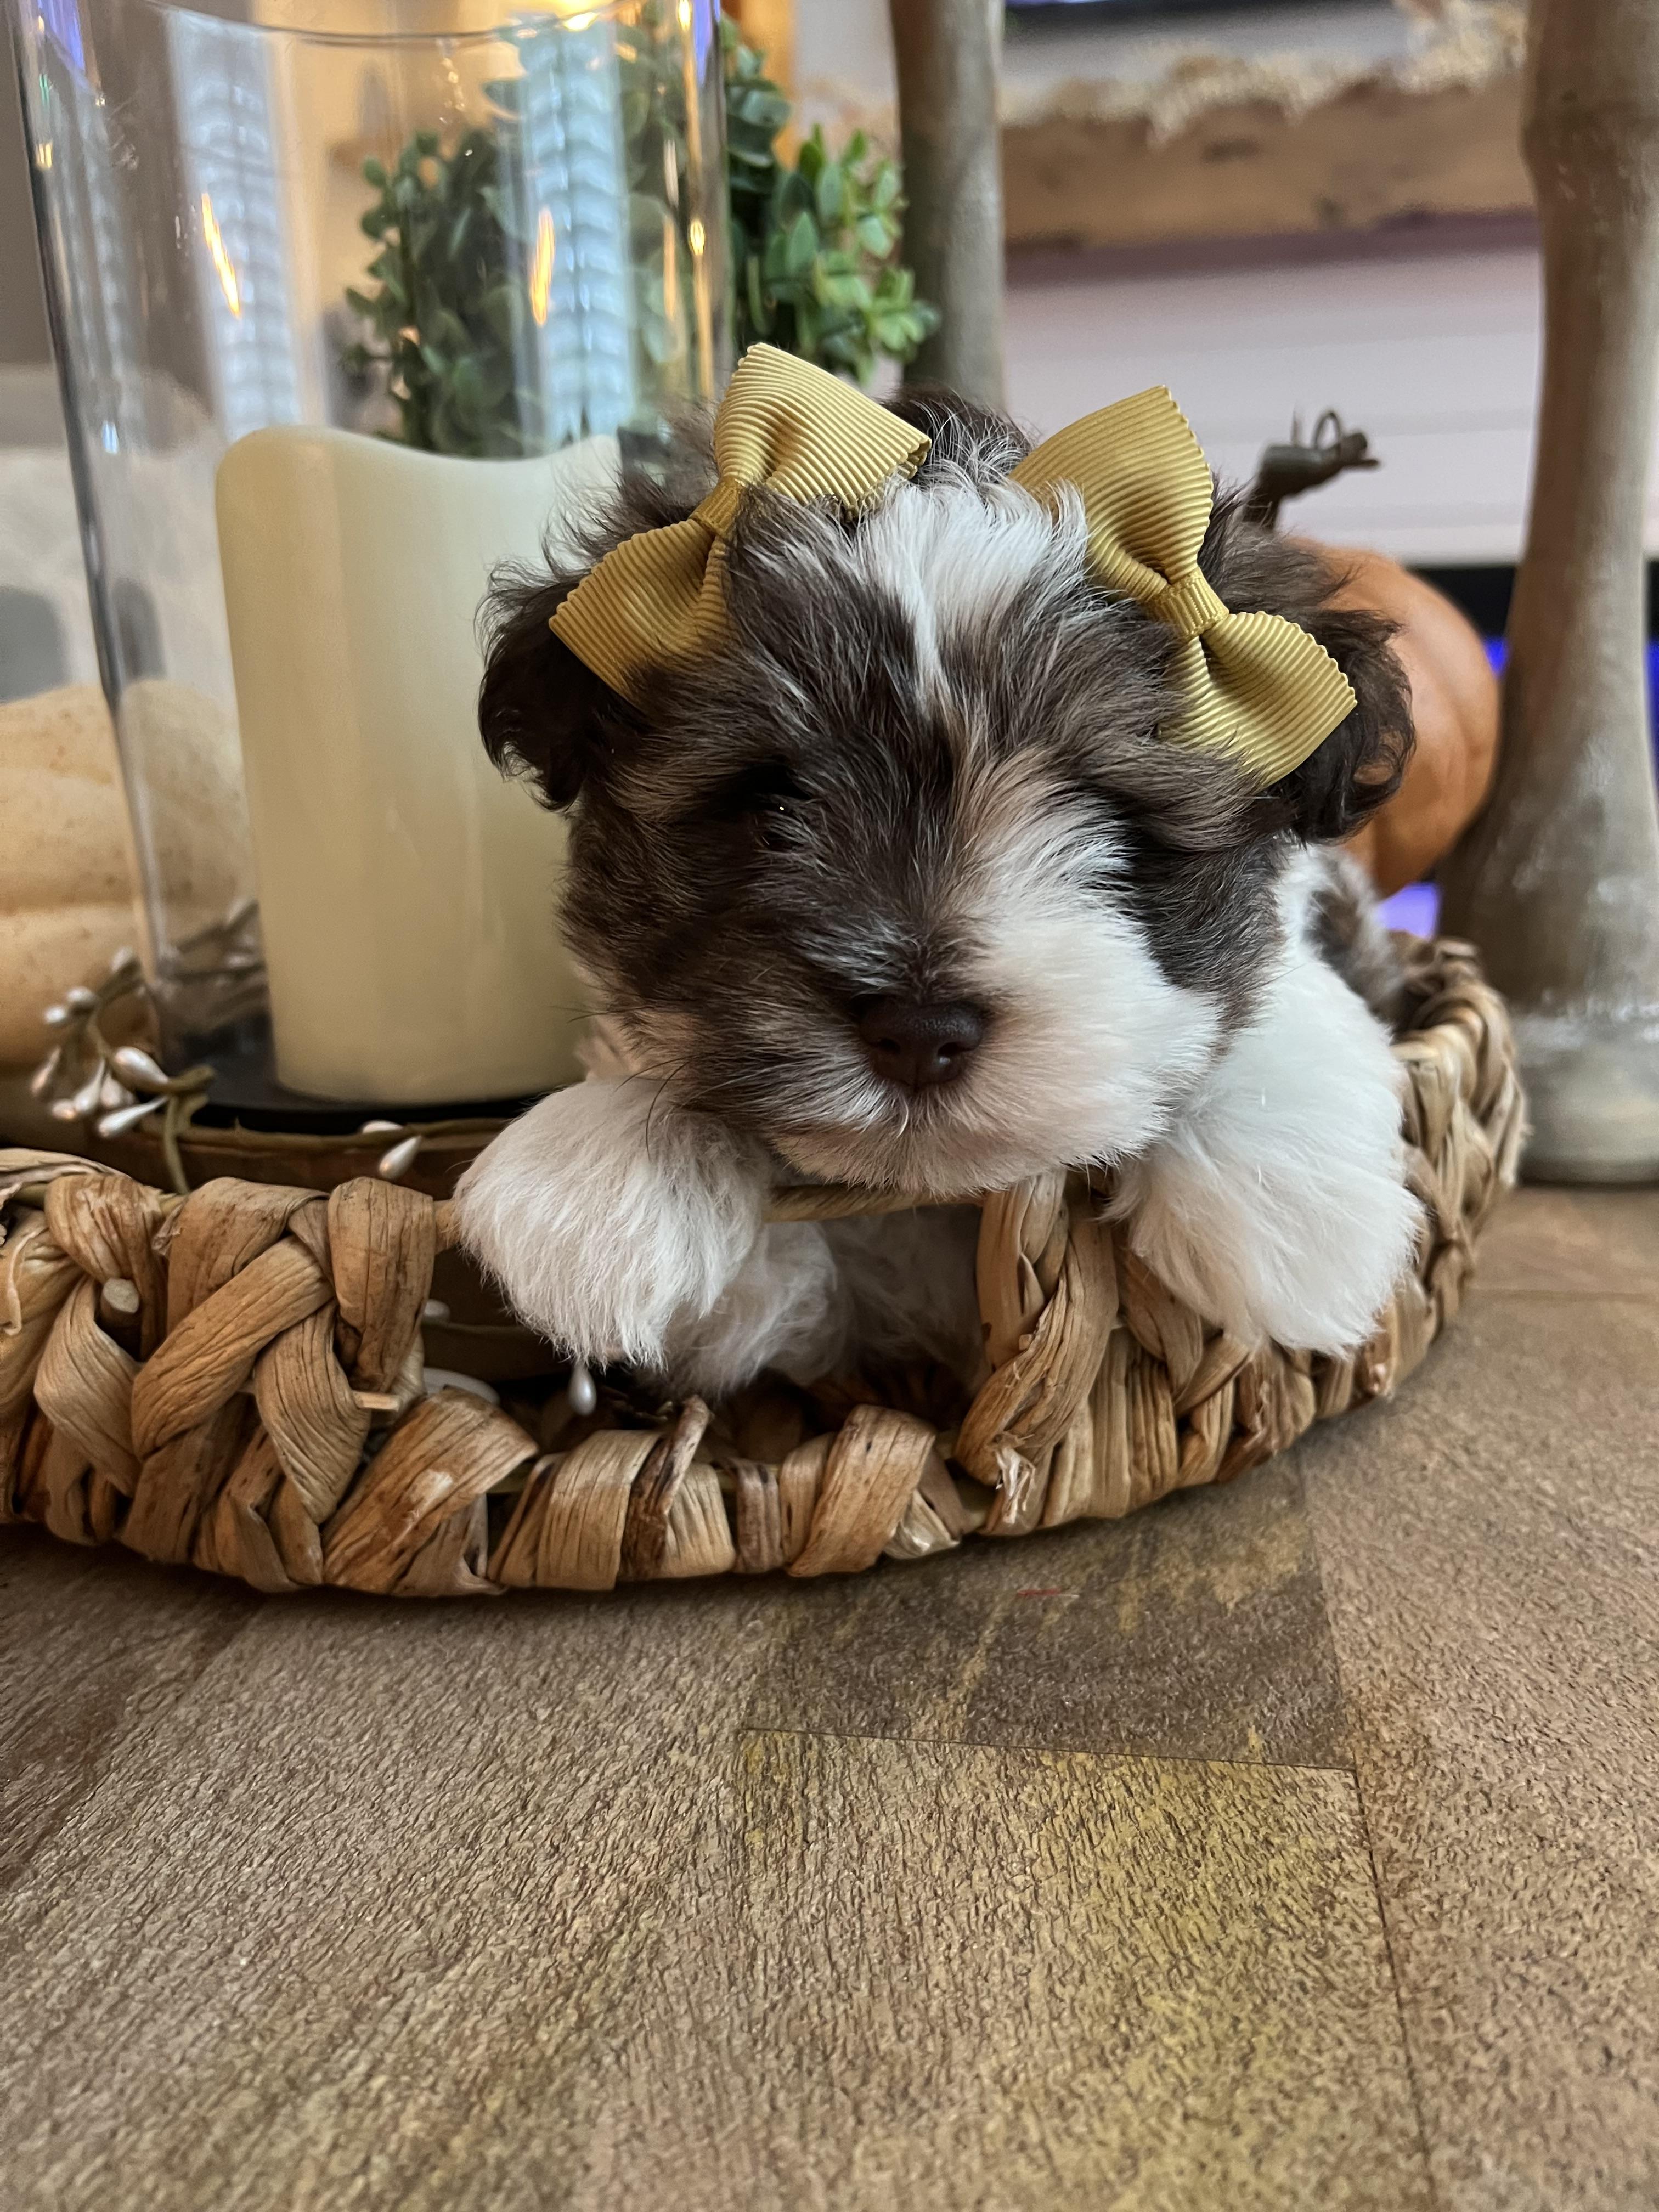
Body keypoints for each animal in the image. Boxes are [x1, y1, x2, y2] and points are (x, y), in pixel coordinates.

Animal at [455, 381, 1421, 1402]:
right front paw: (606, 1167)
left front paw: (1285, 1196)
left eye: (1109, 814)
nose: (918, 1031)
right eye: (768, 799)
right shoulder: (827, 1331)